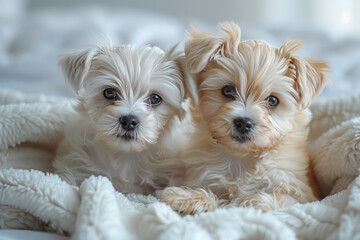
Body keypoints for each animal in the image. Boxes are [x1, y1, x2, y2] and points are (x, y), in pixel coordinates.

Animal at [162, 22, 330, 214]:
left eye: (273, 100)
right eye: (228, 90)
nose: (243, 123)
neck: (241, 159)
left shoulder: (303, 194)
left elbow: (279, 199)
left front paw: (250, 202)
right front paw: (184, 197)